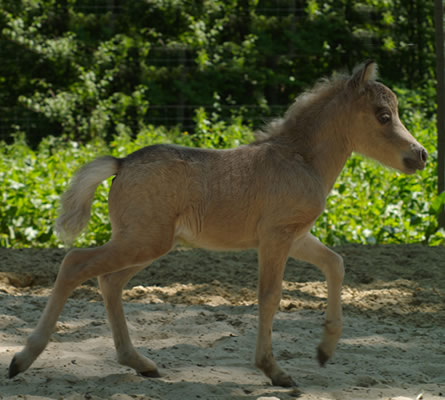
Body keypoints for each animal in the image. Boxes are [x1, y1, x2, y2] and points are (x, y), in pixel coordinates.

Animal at [9, 61, 426, 388]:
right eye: (383, 115)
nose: (420, 154)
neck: (300, 159)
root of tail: (122, 162)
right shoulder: (275, 237)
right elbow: (269, 296)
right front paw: (274, 371)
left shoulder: (296, 235)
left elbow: (336, 264)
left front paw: (324, 350)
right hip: (142, 240)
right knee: (74, 264)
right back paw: (23, 358)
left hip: (149, 242)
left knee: (109, 281)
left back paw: (140, 363)